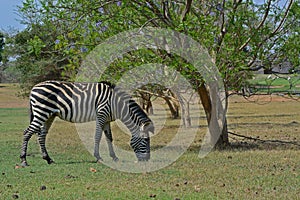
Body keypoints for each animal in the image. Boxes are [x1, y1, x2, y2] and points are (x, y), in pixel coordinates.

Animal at [19, 80, 154, 166]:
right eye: (146, 140)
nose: (147, 160)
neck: (117, 104)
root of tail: (34, 87)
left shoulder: (107, 120)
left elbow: (109, 138)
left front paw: (114, 157)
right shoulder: (101, 115)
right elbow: (98, 136)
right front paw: (98, 157)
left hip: (49, 115)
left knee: (41, 135)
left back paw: (48, 159)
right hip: (41, 112)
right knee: (27, 133)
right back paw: (24, 160)